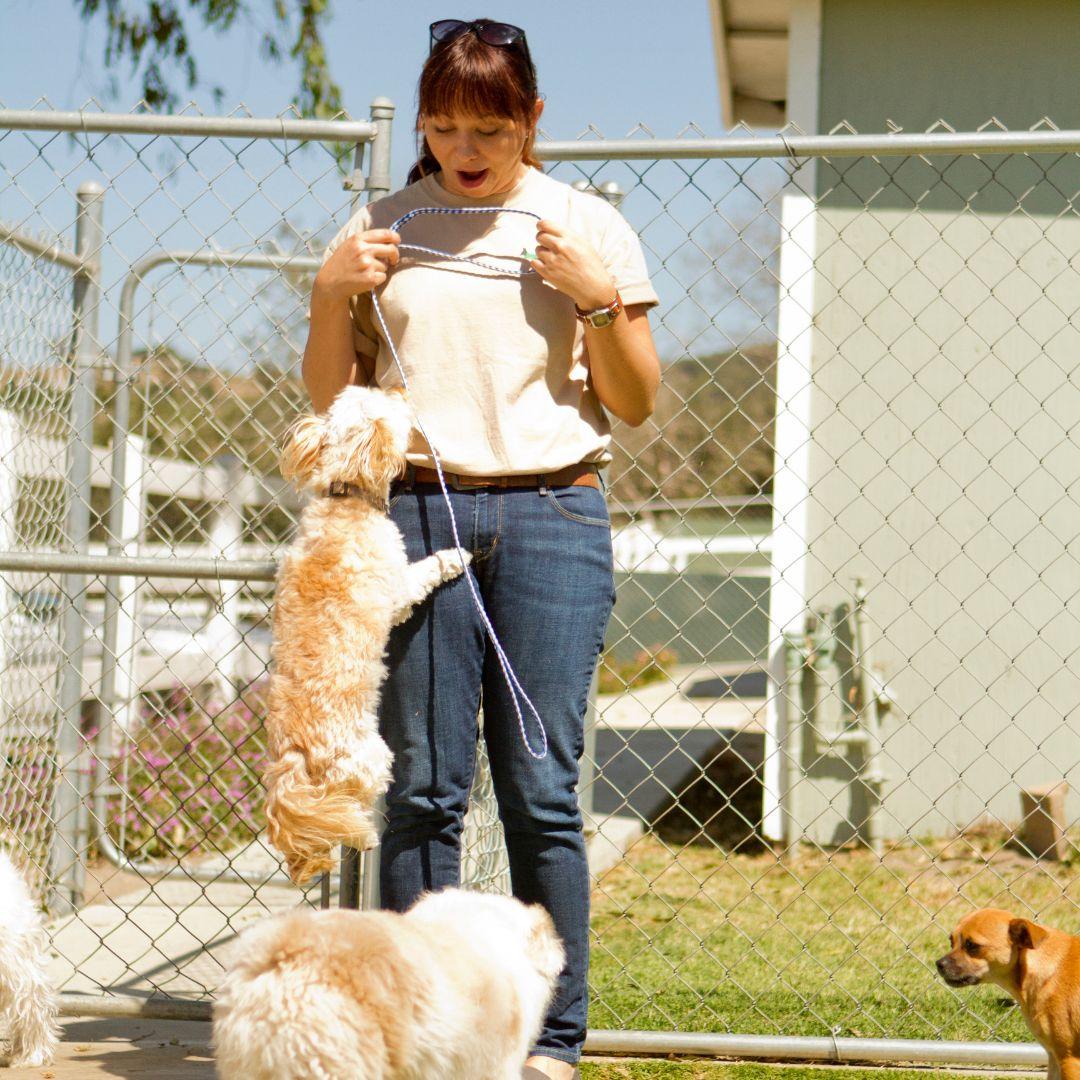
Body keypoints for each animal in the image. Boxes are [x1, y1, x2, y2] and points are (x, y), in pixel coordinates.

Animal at [263, 386, 470, 885]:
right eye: (386, 404)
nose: (398, 387)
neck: (345, 498)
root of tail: (295, 758)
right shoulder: (397, 586)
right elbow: (424, 574)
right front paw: (454, 557)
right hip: (373, 758)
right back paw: (365, 833)